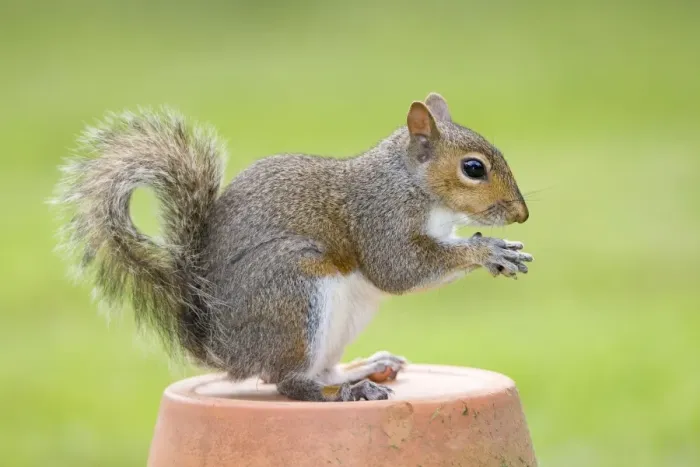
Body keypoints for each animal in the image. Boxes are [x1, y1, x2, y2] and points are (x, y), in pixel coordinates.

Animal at [52, 92, 532, 402]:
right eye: (473, 168)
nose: (521, 214)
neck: (411, 183)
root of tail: (226, 351)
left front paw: (499, 246)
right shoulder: (380, 219)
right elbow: (399, 270)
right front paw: (488, 251)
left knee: (317, 368)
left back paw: (362, 369)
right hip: (295, 292)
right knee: (287, 383)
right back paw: (345, 391)